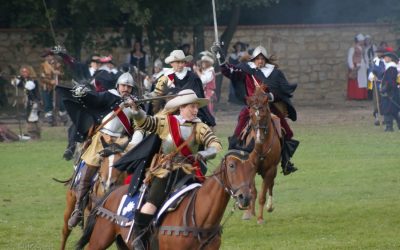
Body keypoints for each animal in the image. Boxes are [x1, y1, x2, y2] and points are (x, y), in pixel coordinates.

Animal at [76, 149, 255, 249]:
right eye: (231, 166)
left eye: (252, 168)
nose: (244, 197)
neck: (200, 218)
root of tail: (111, 193)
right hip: (99, 240)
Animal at [241, 86, 282, 225]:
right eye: (251, 115)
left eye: (264, 114)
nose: (258, 139)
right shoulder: (251, 167)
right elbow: (252, 191)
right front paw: (249, 213)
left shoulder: (270, 169)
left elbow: (262, 195)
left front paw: (260, 218)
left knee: (271, 185)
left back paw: (270, 206)